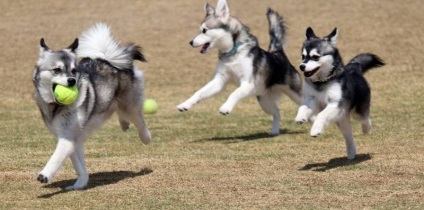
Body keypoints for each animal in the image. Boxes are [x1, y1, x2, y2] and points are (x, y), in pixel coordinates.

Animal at [33, 23, 152, 190]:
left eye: (74, 70)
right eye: (56, 70)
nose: (72, 81)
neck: (58, 107)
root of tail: (108, 60)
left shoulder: (68, 137)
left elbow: (56, 157)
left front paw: (44, 175)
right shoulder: (72, 139)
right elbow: (79, 165)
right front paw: (80, 183)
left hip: (130, 106)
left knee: (139, 121)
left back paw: (146, 138)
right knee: (121, 114)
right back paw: (124, 124)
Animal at [176, 0, 302, 135]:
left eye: (204, 30)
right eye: (200, 30)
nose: (190, 42)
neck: (233, 53)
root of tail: (277, 53)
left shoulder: (247, 83)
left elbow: (234, 93)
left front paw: (226, 108)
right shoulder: (219, 81)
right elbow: (199, 93)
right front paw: (185, 104)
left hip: (295, 94)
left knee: (309, 106)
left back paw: (304, 120)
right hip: (264, 100)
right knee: (277, 113)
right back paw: (274, 131)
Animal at [294, 27, 384, 159]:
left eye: (315, 57)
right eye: (303, 56)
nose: (302, 66)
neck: (322, 81)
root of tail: (354, 68)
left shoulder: (336, 104)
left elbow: (321, 115)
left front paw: (315, 130)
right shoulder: (311, 98)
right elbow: (304, 107)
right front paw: (301, 117)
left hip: (356, 112)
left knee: (365, 118)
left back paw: (366, 129)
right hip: (342, 120)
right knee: (348, 136)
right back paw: (351, 152)